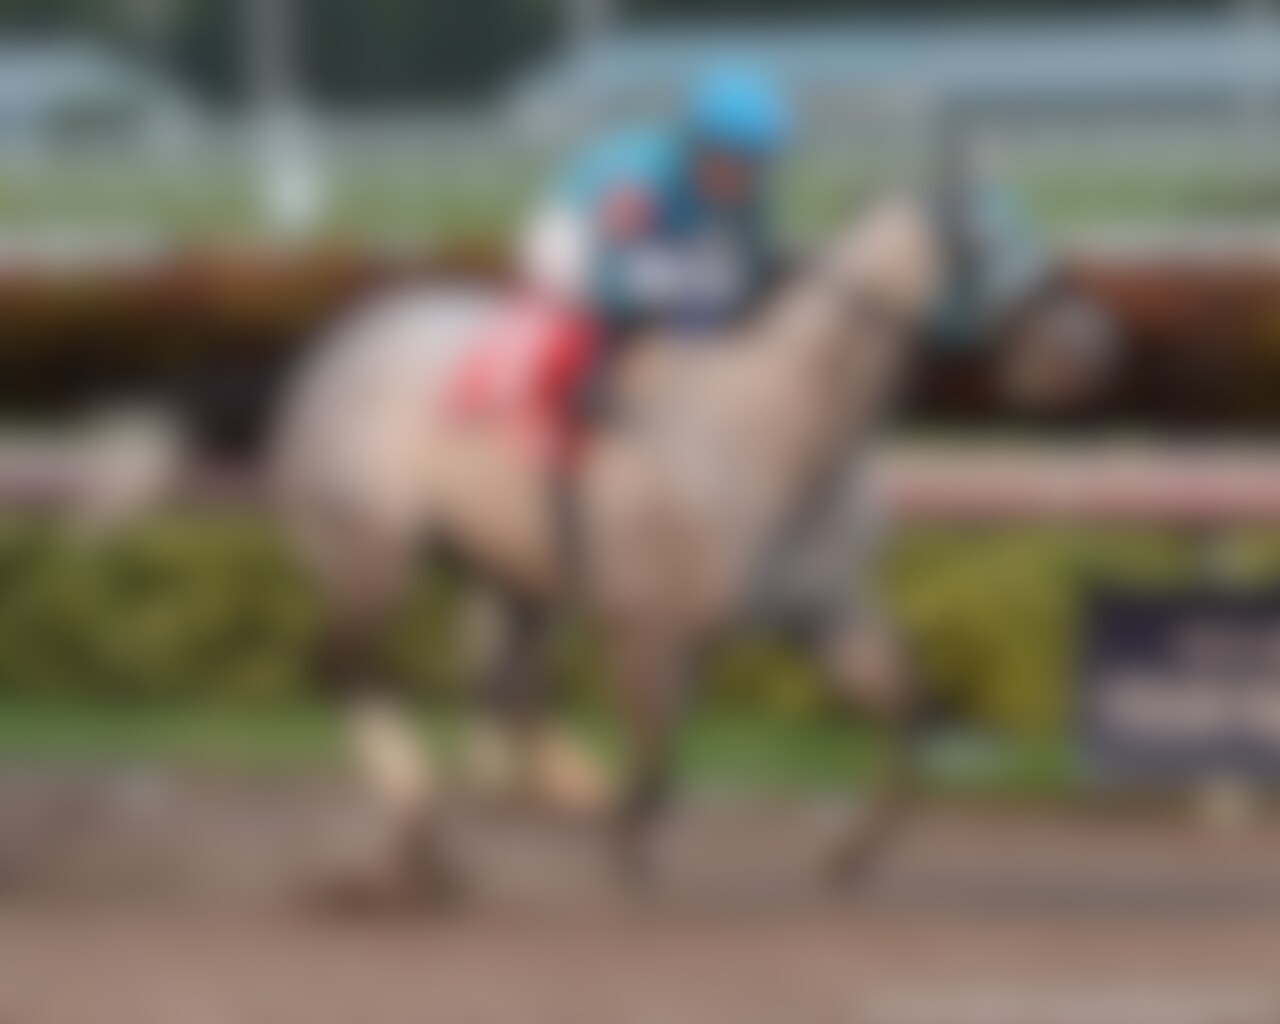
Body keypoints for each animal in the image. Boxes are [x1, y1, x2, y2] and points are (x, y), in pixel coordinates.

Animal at [268, 196, 942, 904]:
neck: (770, 425)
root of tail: (344, 341)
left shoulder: (819, 610)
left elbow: (907, 707)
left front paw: (853, 851)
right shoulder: (647, 619)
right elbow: (656, 758)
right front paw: (624, 844)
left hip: (510, 573)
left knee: (504, 691)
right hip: (369, 547)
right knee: (351, 666)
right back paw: (424, 827)